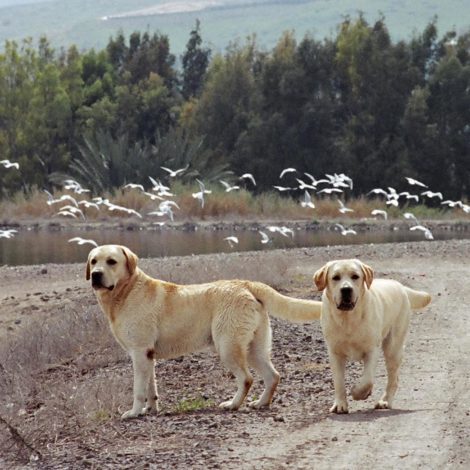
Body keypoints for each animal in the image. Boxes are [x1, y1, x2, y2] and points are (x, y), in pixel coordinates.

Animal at [87, 246, 324, 418]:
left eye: (111, 261)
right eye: (93, 261)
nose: (96, 275)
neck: (125, 292)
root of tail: (245, 284)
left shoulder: (139, 352)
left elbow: (138, 389)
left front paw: (134, 413)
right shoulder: (147, 355)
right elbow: (150, 388)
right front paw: (150, 410)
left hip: (228, 347)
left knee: (247, 379)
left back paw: (233, 404)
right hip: (255, 348)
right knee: (273, 376)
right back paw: (261, 403)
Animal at [314, 258, 432, 414]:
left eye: (355, 276)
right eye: (335, 277)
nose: (346, 289)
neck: (348, 319)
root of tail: (400, 286)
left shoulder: (371, 349)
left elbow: (368, 379)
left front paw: (358, 392)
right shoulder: (335, 353)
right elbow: (338, 381)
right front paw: (340, 405)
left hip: (393, 348)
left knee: (394, 379)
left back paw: (385, 401)